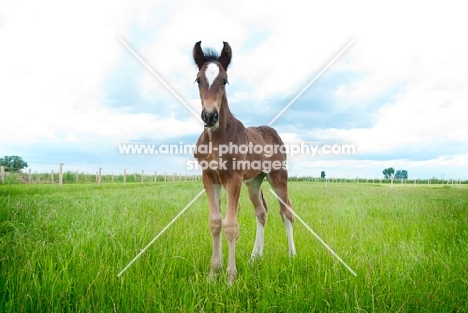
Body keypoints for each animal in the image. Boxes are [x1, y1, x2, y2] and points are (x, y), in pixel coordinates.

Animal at [191, 40, 294, 282]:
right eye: (198, 79)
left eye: (224, 80)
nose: (210, 116)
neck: (216, 138)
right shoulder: (209, 178)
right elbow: (215, 222)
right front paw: (213, 274)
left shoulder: (233, 179)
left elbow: (230, 225)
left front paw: (230, 277)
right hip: (254, 182)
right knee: (262, 212)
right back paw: (255, 257)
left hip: (278, 176)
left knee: (286, 212)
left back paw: (292, 255)